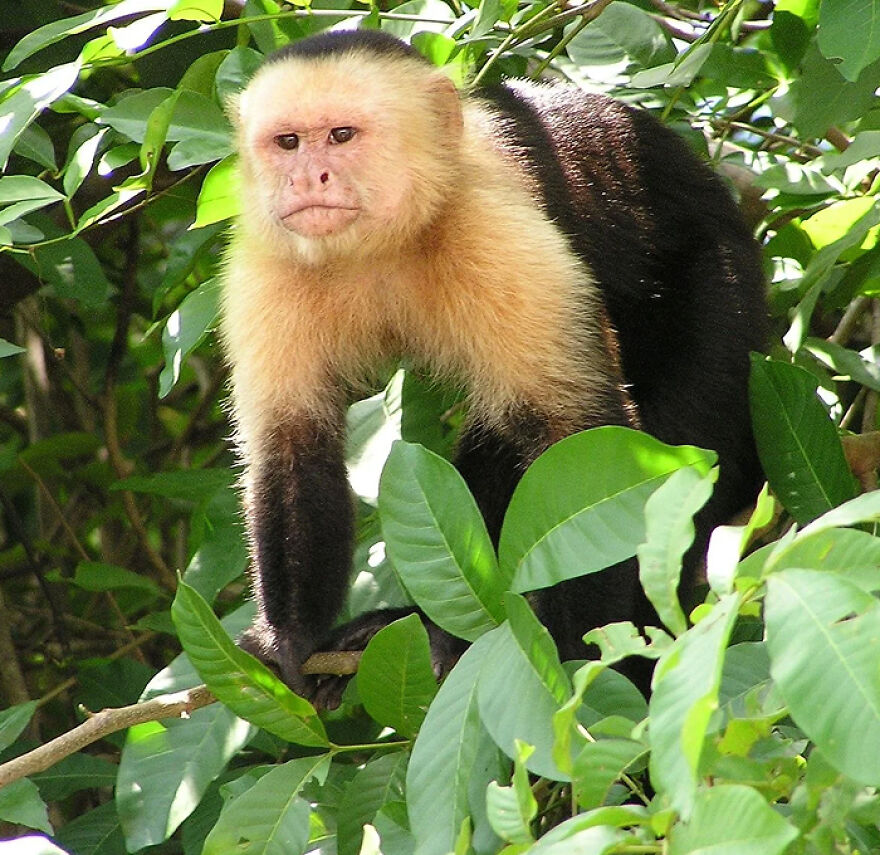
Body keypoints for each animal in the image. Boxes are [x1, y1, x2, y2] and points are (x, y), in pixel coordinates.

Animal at [220, 28, 767, 702]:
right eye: (288, 142)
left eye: (342, 136)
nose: (306, 178)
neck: (383, 246)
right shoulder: (268, 262)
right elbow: (292, 445)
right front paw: (289, 639)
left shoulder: (495, 234)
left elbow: (581, 442)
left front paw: (582, 664)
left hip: (722, 291)